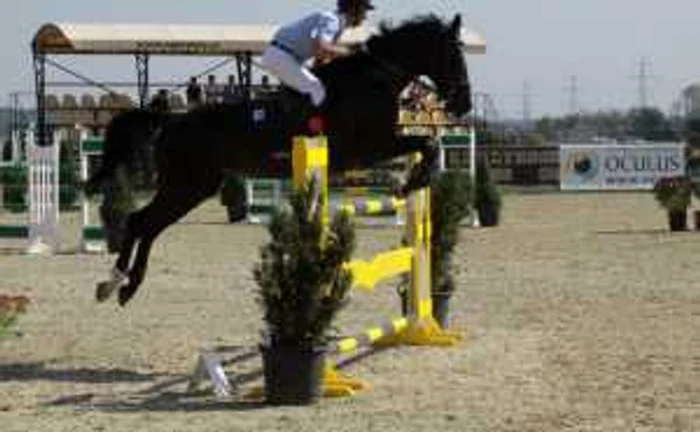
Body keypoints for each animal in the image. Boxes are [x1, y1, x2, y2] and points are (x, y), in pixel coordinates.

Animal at [87, 12, 470, 304]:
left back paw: (118, 285)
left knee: (146, 224)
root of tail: (171, 120)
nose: (463, 104)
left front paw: (409, 182)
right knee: (141, 221)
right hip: (187, 184)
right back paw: (119, 283)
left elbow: (426, 143)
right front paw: (411, 181)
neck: (373, 78)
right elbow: (426, 143)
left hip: (195, 186)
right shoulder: (368, 146)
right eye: (454, 56)